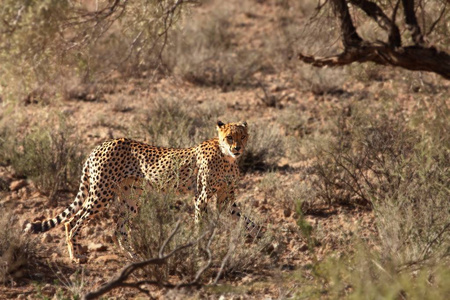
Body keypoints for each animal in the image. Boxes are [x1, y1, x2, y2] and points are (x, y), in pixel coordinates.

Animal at [26, 121, 255, 262]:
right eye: (229, 137)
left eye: (243, 137)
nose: (237, 148)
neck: (226, 158)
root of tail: (102, 145)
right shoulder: (201, 198)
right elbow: (201, 225)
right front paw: (201, 250)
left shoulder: (226, 199)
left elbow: (247, 220)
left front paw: (261, 236)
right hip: (101, 194)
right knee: (72, 221)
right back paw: (75, 256)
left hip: (131, 199)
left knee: (118, 228)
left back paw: (133, 256)